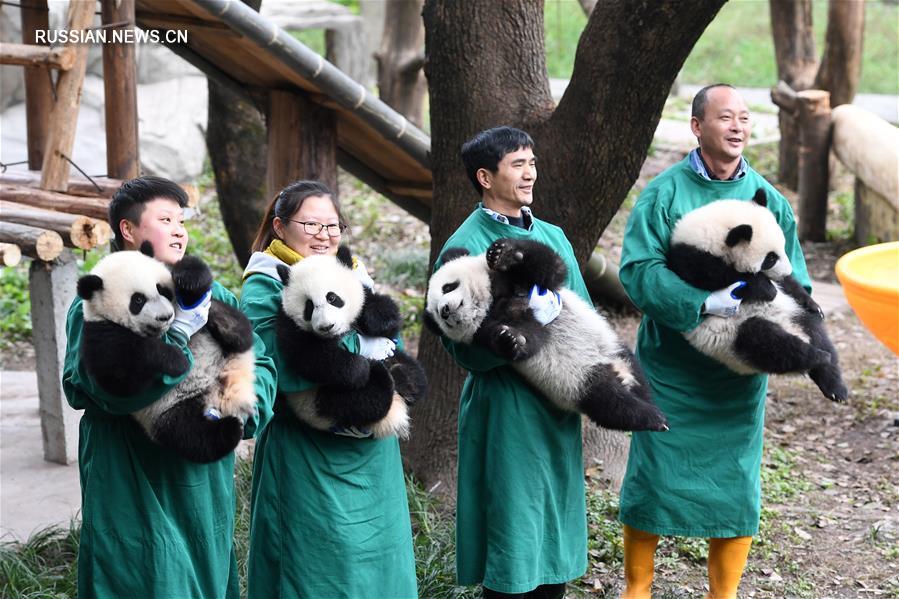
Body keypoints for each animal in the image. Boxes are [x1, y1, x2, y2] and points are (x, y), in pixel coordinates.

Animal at [75, 244, 258, 464]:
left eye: (162, 289)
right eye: (138, 300)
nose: (166, 316)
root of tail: (220, 399)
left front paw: (188, 280)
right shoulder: (100, 333)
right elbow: (122, 379)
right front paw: (176, 360)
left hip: (228, 354)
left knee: (236, 327)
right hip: (169, 410)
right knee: (189, 435)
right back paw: (230, 429)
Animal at [276, 245, 428, 440]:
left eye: (332, 298)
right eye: (309, 306)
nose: (327, 326)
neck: (339, 333)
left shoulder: (363, 294)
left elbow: (385, 316)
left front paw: (378, 320)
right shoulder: (288, 324)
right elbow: (310, 356)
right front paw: (361, 368)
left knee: (415, 373)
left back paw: (405, 378)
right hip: (318, 403)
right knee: (364, 400)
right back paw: (381, 375)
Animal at [426, 237, 672, 434]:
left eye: (448, 287)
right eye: (438, 313)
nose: (445, 310)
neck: (490, 301)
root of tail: (618, 373)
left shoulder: (520, 284)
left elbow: (551, 268)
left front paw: (504, 252)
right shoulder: (485, 329)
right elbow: (528, 341)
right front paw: (509, 339)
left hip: (614, 349)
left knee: (638, 377)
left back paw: (652, 405)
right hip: (579, 383)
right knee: (612, 404)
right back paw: (653, 417)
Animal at [668, 188, 852, 404]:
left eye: (784, 246)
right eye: (770, 258)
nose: (787, 271)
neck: (709, 235)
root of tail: (792, 330)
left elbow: (791, 287)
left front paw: (811, 302)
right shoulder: (687, 257)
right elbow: (712, 274)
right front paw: (766, 289)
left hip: (795, 315)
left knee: (816, 332)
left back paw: (834, 384)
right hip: (733, 334)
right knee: (769, 343)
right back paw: (815, 356)